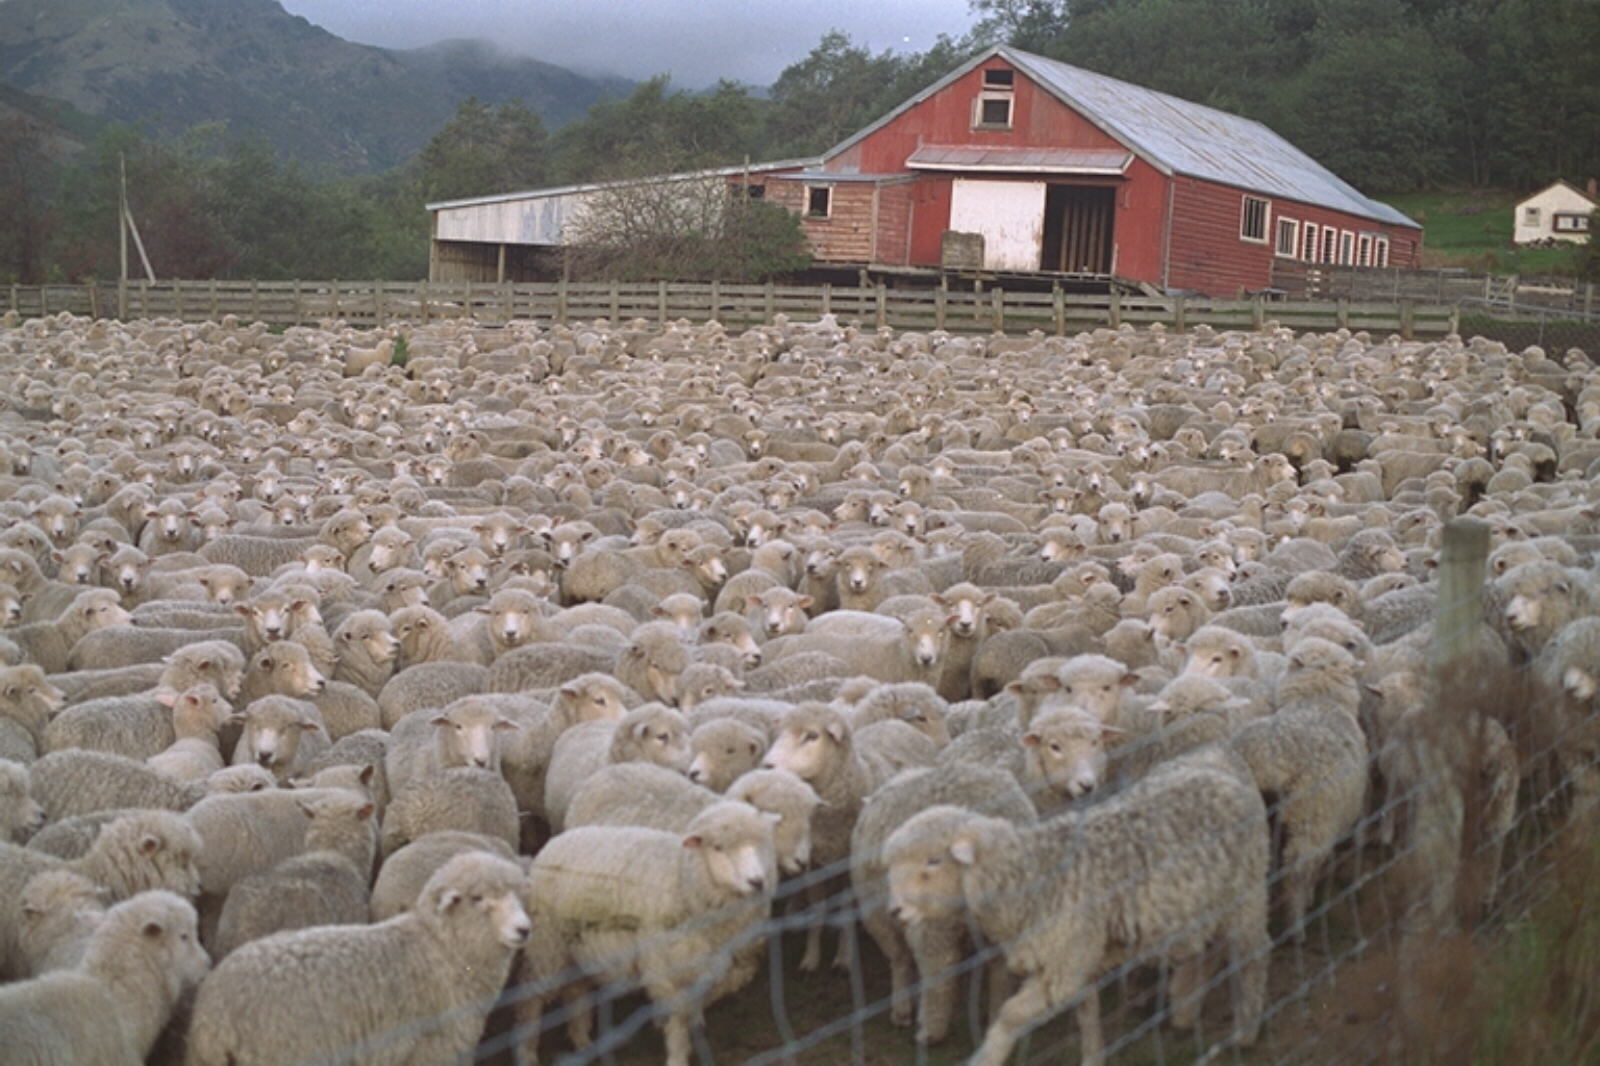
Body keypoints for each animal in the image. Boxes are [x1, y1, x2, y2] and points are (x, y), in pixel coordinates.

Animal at [184, 845, 528, 1062]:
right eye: (478, 898)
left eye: (517, 893)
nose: (524, 929)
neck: (439, 949)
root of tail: (214, 1016)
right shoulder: (432, 1050)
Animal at [515, 800, 777, 1062]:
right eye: (718, 847)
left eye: (762, 843)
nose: (757, 882)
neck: (683, 879)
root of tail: (555, 841)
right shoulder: (665, 965)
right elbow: (679, 1016)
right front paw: (677, 1055)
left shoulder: (721, 963)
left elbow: (698, 1001)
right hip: (547, 942)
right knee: (531, 995)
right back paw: (527, 1051)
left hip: (578, 947)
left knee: (575, 991)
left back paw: (582, 1042)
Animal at [883, 745, 1267, 1062]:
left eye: (934, 860)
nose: (894, 911)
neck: (1032, 875)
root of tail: (1219, 764)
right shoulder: (1080, 958)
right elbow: (1087, 1013)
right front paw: (1093, 1056)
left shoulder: (1063, 965)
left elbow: (1011, 1015)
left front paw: (986, 1057)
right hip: (1204, 905)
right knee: (1211, 948)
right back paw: (1186, 1007)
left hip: (1246, 896)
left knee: (1252, 958)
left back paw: (1246, 1031)